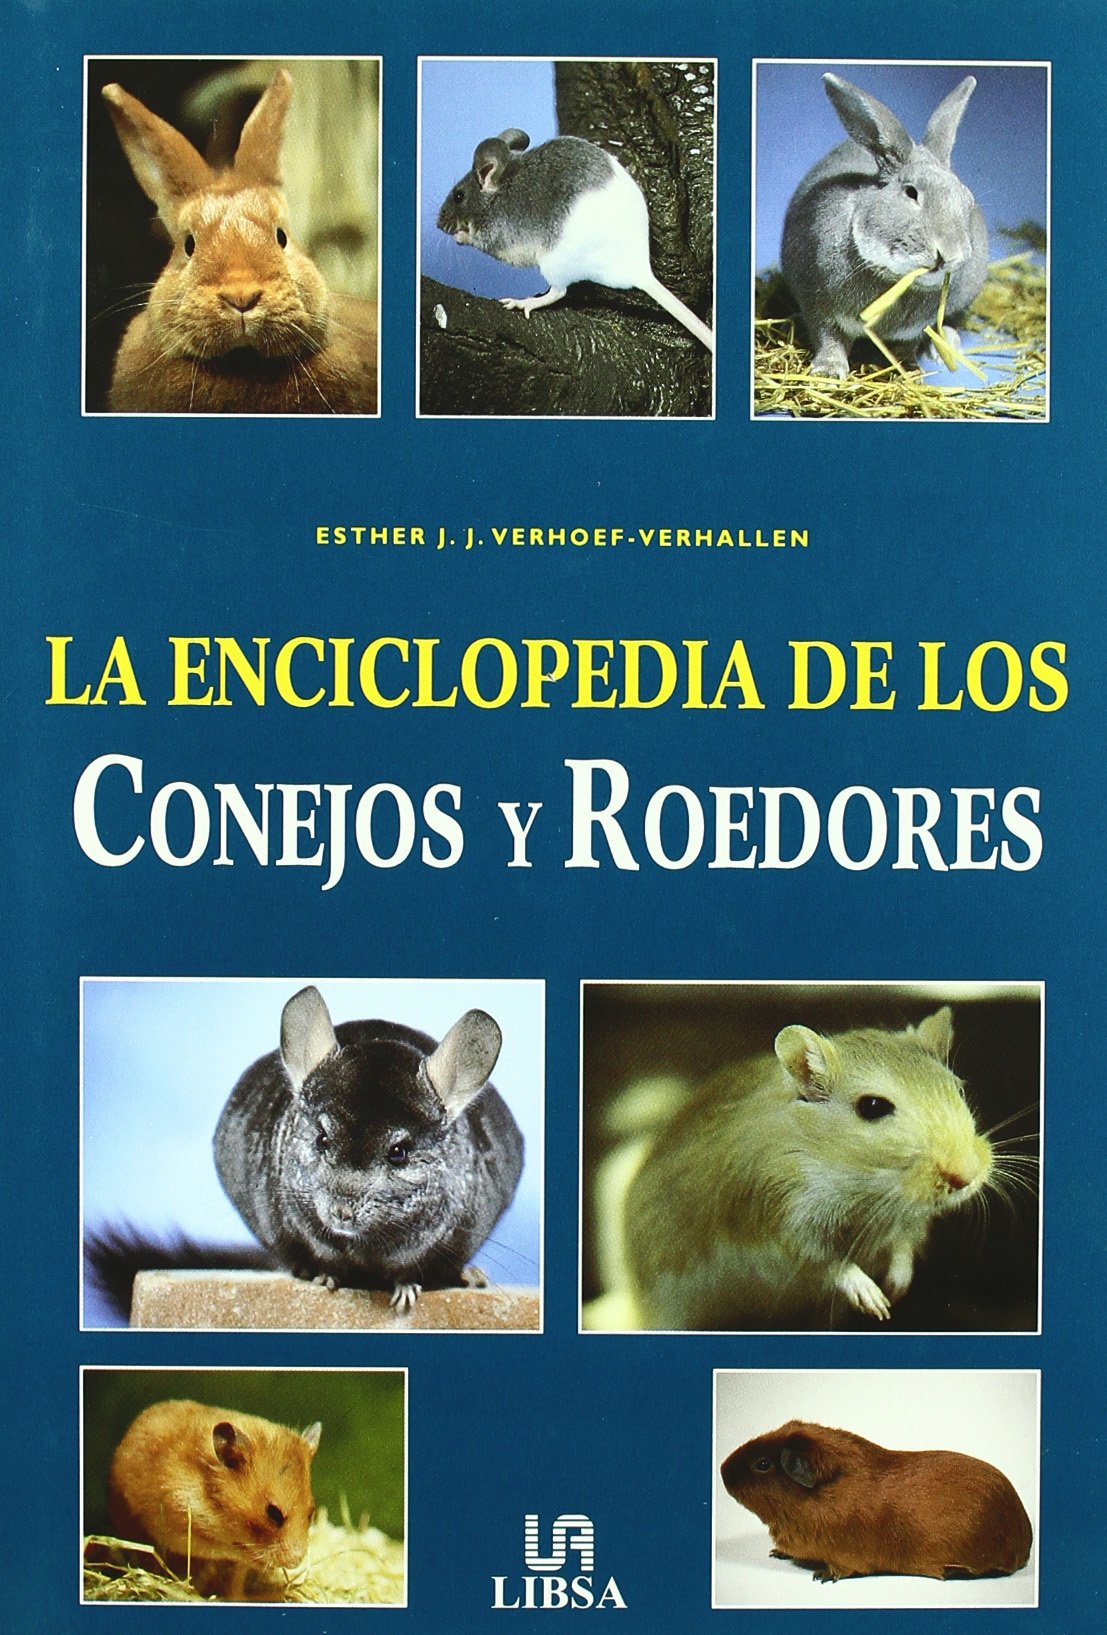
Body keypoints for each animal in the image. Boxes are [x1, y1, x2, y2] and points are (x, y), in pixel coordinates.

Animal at [721, 1420, 1033, 1581]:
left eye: (763, 1464)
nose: (723, 1470)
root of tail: (1024, 1538)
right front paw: (777, 1553)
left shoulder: (846, 1558)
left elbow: (840, 1569)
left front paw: (821, 1576)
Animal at [780, 73, 988, 377]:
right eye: (911, 193)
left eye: (967, 199)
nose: (949, 254)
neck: (893, 278)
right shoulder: (818, 304)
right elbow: (829, 338)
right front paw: (828, 371)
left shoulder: (913, 329)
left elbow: (907, 345)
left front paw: (909, 369)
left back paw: (947, 345)